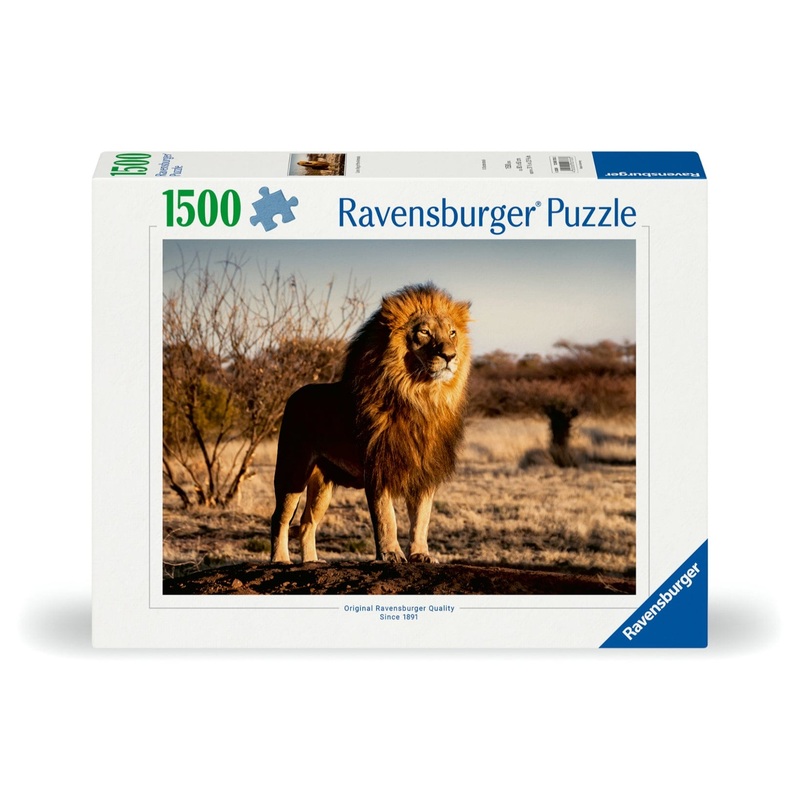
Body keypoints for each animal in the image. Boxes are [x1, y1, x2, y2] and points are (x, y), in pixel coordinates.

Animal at [270, 282, 472, 564]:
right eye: (424, 332)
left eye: (452, 333)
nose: (450, 356)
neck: (421, 397)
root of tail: (295, 394)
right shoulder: (378, 467)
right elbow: (386, 517)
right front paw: (391, 554)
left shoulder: (424, 470)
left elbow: (421, 519)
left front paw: (421, 554)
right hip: (293, 470)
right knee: (280, 518)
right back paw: (280, 560)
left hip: (322, 484)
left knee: (307, 522)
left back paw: (311, 561)